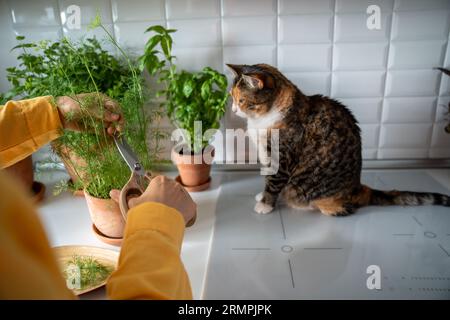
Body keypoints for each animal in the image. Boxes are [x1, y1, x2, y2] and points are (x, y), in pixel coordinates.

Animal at [227, 63, 450, 215]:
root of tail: (358, 187)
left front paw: (265, 204)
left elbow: (274, 182)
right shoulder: (266, 155)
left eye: (242, 100)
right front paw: (263, 195)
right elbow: (268, 178)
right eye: (231, 96)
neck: (262, 120)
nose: (233, 109)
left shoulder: (281, 157)